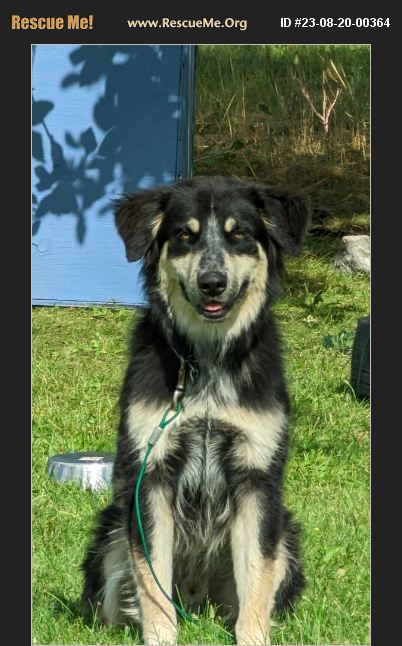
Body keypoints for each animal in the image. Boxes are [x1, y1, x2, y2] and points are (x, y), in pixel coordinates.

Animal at [82, 175, 309, 645]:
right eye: (184, 236)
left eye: (239, 235)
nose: (212, 283)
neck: (206, 360)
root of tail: (197, 597)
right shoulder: (149, 477)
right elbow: (152, 579)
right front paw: (161, 636)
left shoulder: (256, 479)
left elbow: (257, 579)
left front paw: (252, 636)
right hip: (110, 533)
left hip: (287, 536)